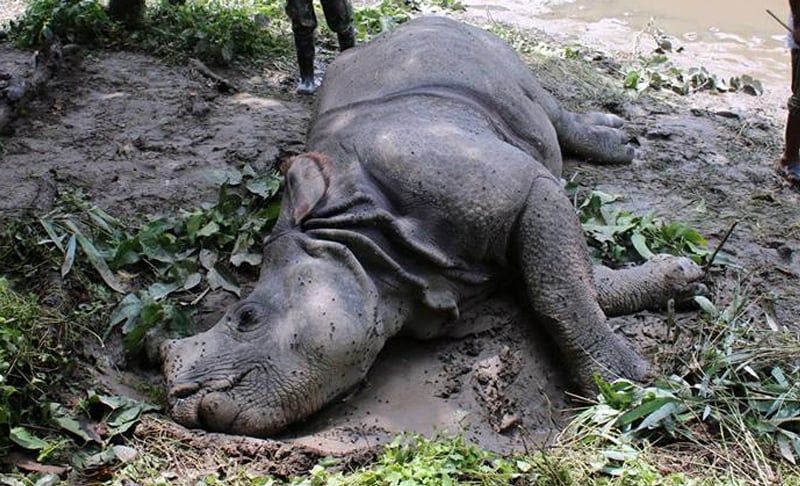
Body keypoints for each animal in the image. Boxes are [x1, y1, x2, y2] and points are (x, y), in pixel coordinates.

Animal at [162, 16, 703, 437]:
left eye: (246, 317)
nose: (183, 402)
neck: (361, 241)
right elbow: (568, 278)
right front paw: (680, 280)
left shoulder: (523, 187)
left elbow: (559, 291)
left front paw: (628, 387)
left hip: (491, 51)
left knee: (542, 106)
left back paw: (620, 144)